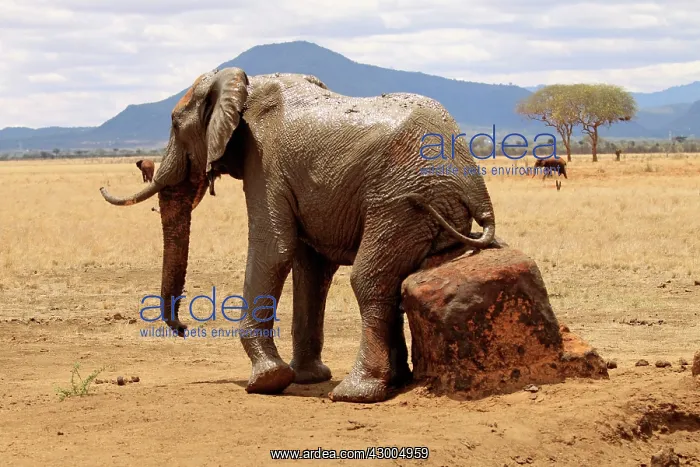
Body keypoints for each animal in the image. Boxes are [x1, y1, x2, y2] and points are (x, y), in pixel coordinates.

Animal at [99, 68, 500, 403]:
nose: (182, 328)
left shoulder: (265, 161)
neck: (243, 82)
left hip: (403, 201)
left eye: (174, 123)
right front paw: (307, 378)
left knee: (369, 280)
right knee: (396, 282)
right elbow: (311, 269)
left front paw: (267, 381)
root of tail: (476, 188)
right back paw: (395, 381)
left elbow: (273, 249)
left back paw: (355, 393)